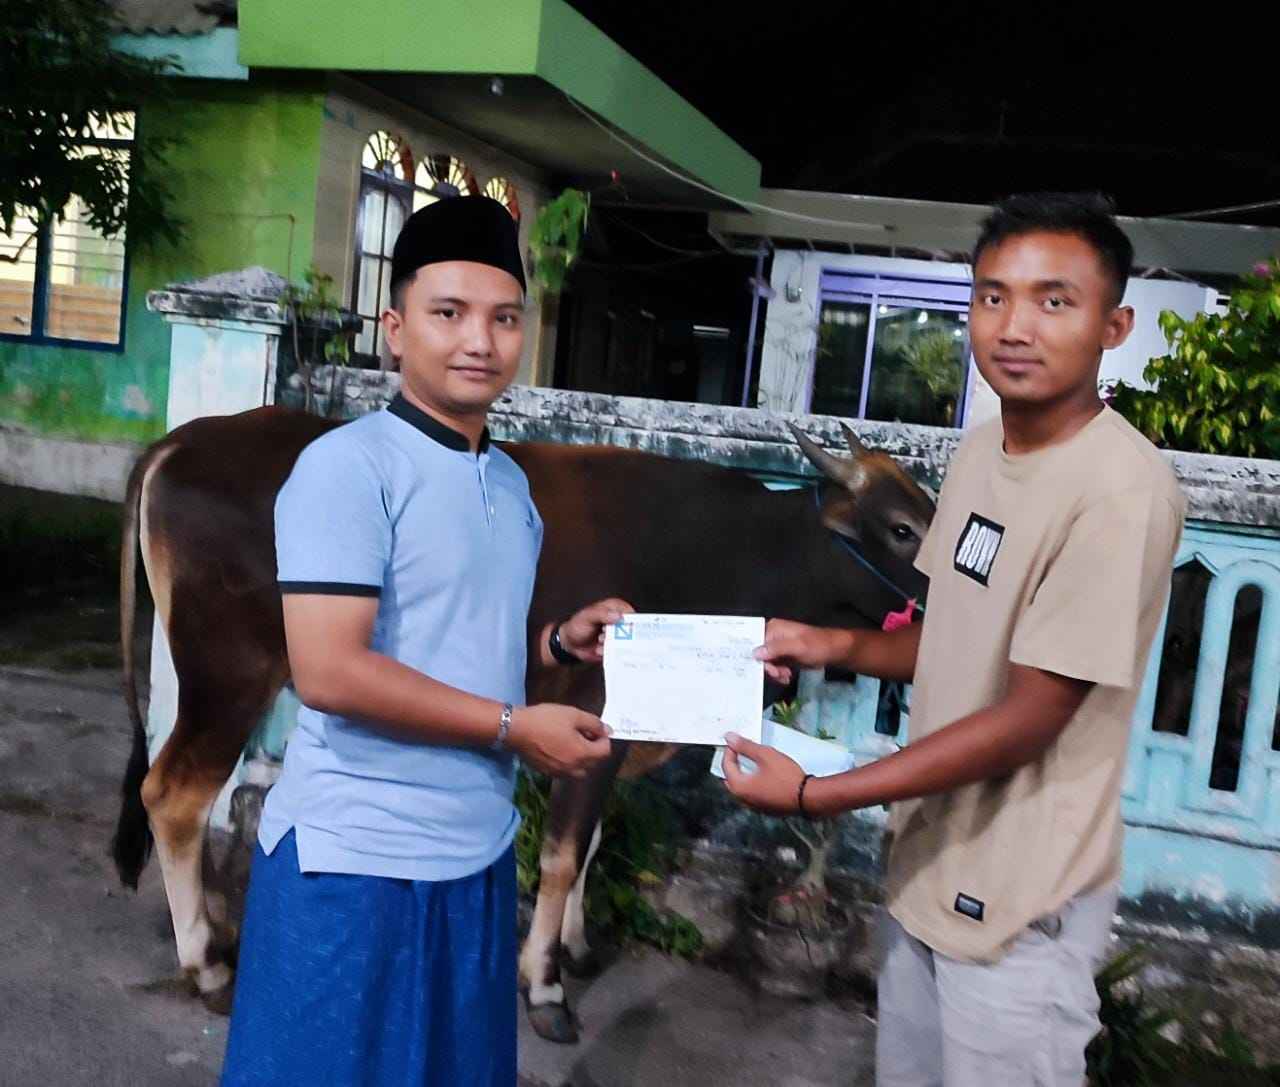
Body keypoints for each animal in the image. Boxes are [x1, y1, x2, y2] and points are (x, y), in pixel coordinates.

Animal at [112, 402, 931, 1039]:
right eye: (900, 528)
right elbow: (565, 854)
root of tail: (184, 442)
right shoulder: (592, 725)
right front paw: (543, 983)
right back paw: (208, 965)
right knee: (173, 796)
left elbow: (590, 843)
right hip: (229, 676)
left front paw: (571, 945)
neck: (729, 549)